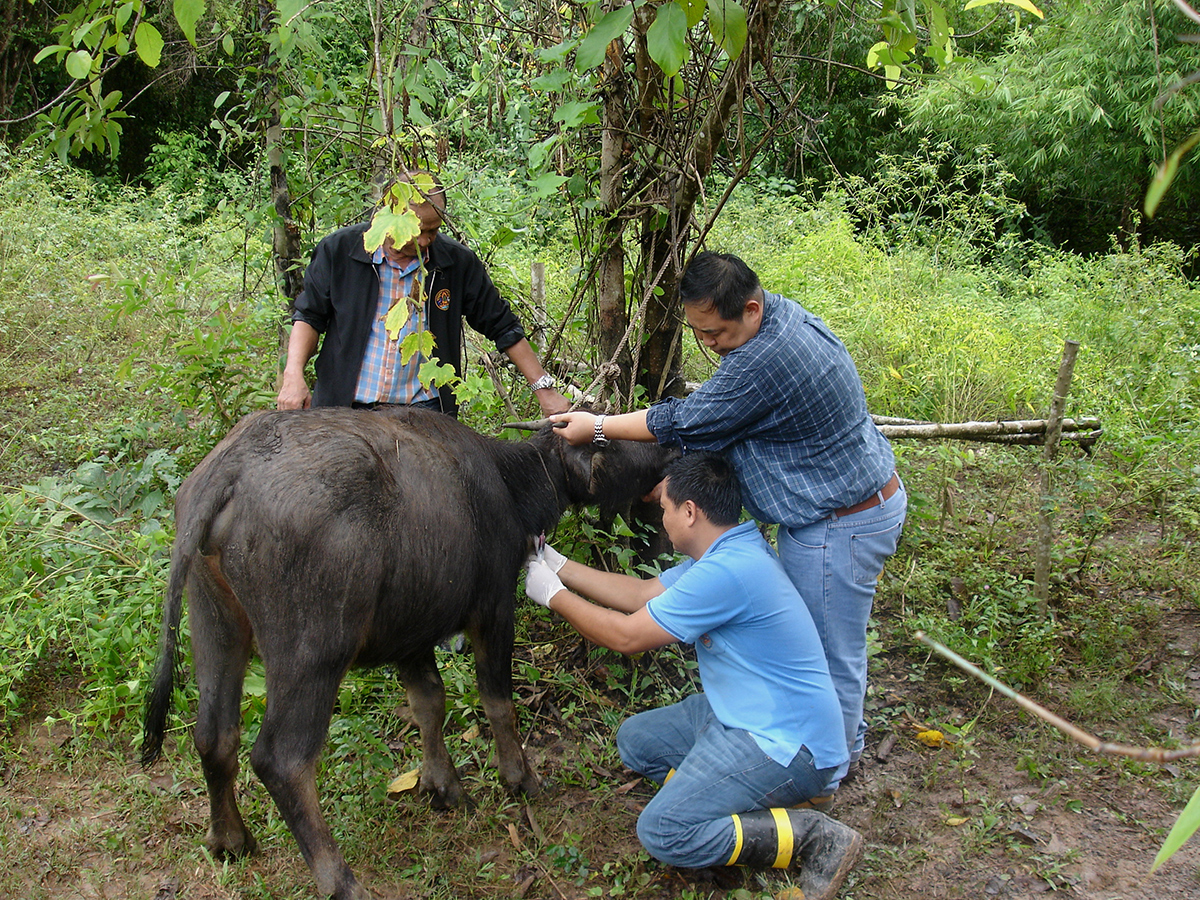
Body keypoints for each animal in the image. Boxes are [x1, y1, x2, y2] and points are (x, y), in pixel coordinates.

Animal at [138, 408, 676, 900]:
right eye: (613, 441)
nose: (667, 449)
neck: (509, 484)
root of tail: (230, 469)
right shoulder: (493, 610)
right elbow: (497, 702)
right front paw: (519, 777)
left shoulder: (412, 635)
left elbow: (429, 703)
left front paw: (444, 786)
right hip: (312, 650)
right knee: (281, 760)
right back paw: (341, 881)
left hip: (214, 619)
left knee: (214, 735)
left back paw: (230, 839)